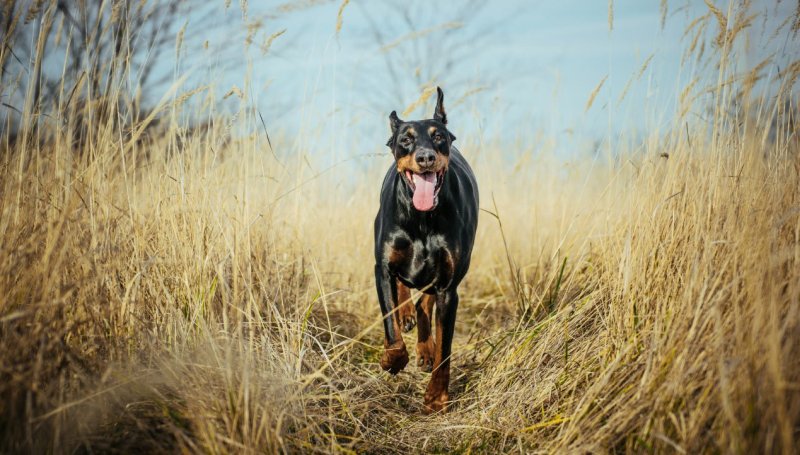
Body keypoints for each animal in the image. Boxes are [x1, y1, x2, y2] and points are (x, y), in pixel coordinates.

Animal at [374, 85, 478, 414]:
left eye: (438, 136)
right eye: (405, 139)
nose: (426, 157)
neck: (422, 219)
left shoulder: (448, 285)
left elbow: (445, 350)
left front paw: (436, 396)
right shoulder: (381, 267)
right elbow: (391, 323)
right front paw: (392, 358)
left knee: (424, 302)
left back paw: (424, 347)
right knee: (404, 295)